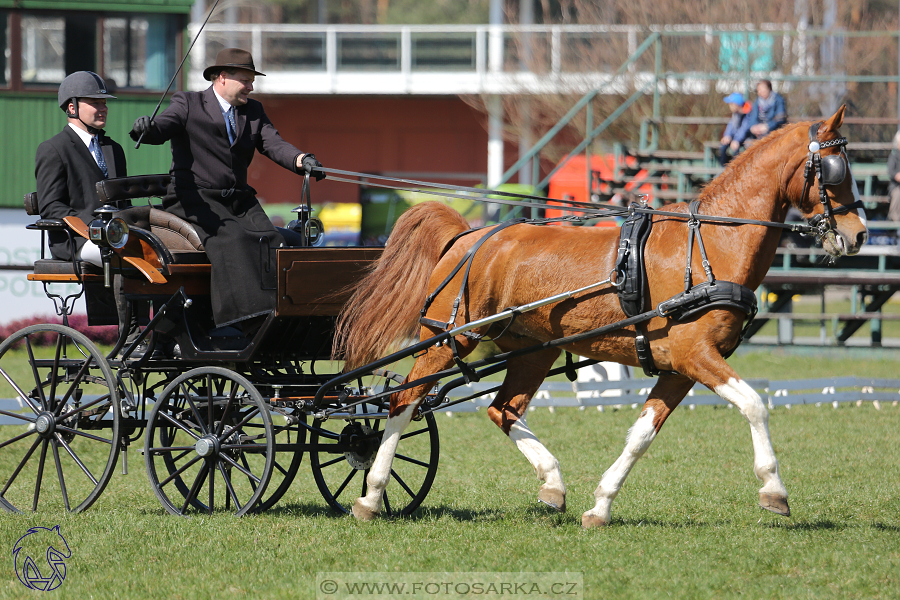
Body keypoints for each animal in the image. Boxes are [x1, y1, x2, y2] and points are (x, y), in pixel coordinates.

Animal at [334, 106, 868, 524]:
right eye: (835, 169)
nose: (860, 234)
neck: (712, 244)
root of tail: (469, 235)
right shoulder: (696, 355)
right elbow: (756, 404)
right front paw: (774, 490)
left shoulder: (679, 368)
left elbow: (641, 435)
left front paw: (602, 505)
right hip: (451, 339)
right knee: (405, 400)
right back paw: (372, 494)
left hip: (531, 352)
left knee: (502, 409)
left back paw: (552, 483)